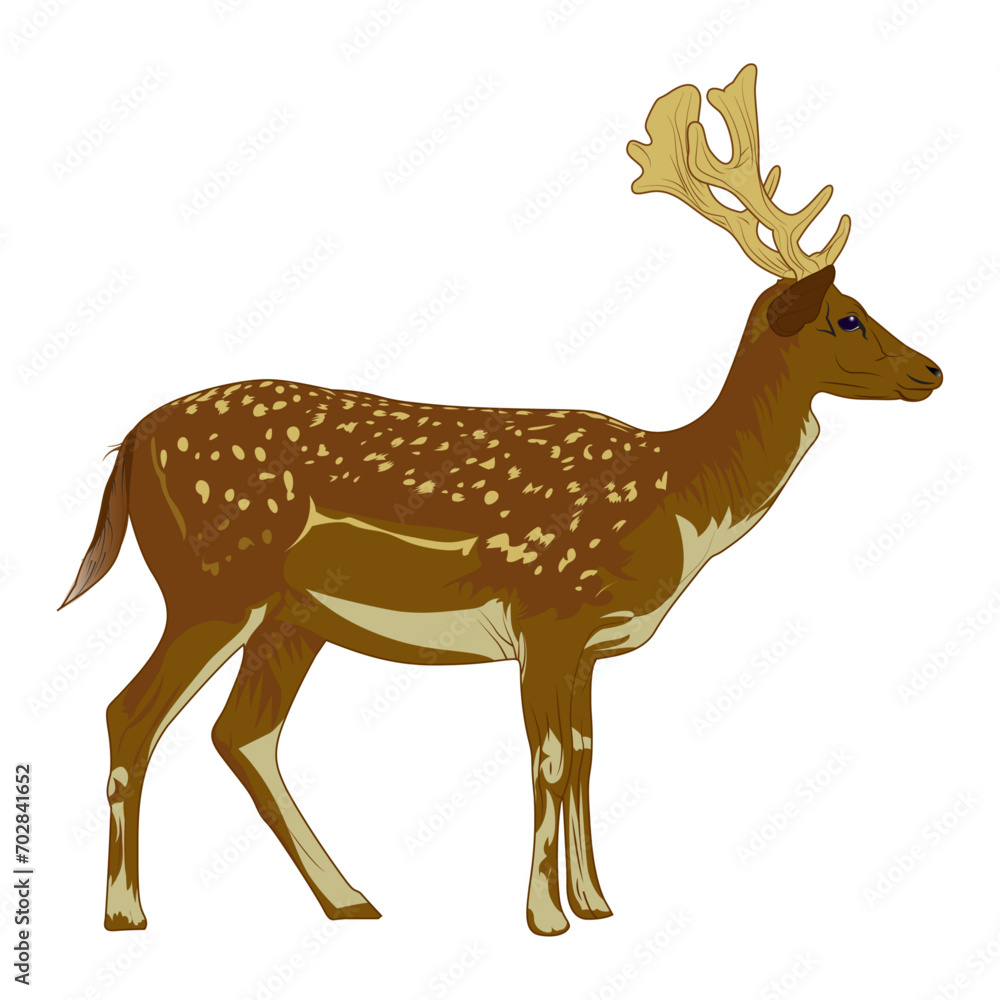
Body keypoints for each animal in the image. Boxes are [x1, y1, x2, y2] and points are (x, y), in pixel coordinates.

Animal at [60, 63, 942, 937]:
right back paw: (126, 912)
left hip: (292, 616)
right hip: (212, 584)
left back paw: (350, 900)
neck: (679, 498)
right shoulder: (546, 612)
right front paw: (545, 915)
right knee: (131, 714)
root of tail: (129, 444)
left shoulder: (586, 645)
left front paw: (596, 902)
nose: (932, 369)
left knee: (242, 735)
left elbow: (585, 753)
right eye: (847, 318)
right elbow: (548, 759)